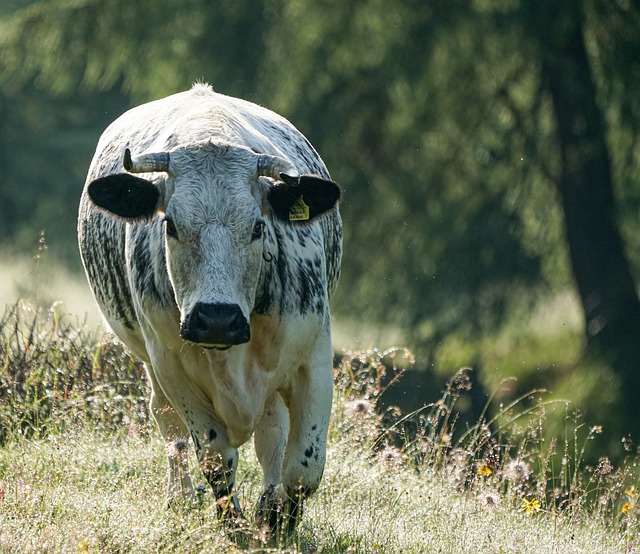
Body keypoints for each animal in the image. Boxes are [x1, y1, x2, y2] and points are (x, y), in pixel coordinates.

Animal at [77, 84, 342, 532]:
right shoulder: (170, 365)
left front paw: (279, 522)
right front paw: (232, 522)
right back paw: (181, 495)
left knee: (272, 434)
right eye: (169, 224)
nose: (216, 319)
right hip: (152, 367)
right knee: (168, 422)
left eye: (258, 226)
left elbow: (304, 468)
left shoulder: (313, 357)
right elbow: (217, 458)